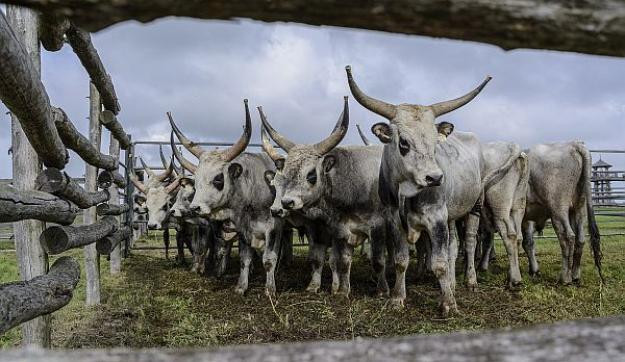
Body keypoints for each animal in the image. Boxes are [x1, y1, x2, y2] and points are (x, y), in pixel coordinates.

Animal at [346, 66, 502, 316]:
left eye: (435, 143)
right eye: (403, 142)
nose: (435, 178)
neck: (407, 191)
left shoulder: (436, 217)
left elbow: (438, 262)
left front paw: (448, 303)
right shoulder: (393, 219)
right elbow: (401, 259)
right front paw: (397, 298)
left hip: (474, 207)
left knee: (468, 243)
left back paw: (470, 281)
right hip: (452, 214)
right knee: (453, 245)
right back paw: (453, 283)